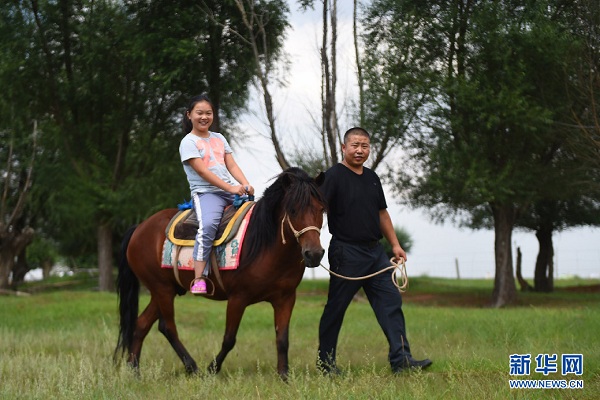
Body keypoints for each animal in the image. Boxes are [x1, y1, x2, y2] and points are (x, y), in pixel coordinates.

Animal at [114, 167, 326, 380]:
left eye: (321, 209)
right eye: (293, 210)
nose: (314, 254)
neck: (264, 245)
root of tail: (139, 228)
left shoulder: (286, 298)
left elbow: (282, 339)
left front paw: (284, 376)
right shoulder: (238, 298)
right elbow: (229, 339)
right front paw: (212, 369)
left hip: (166, 290)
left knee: (141, 325)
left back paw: (134, 371)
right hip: (162, 289)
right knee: (168, 327)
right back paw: (192, 367)